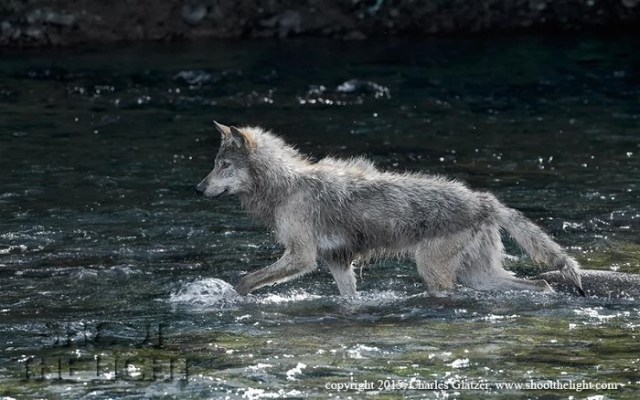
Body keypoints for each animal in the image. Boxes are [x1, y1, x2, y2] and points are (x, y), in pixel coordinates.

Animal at [196, 122, 585, 297]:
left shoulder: (302, 256)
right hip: (480, 276)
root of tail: (485, 201)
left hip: (433, 271)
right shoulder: (337, 262)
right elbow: (350, 299)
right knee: (540, 284)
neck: (285, 186)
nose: (198, 189)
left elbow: (247, 279)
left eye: (224, 166)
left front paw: (232, 295)